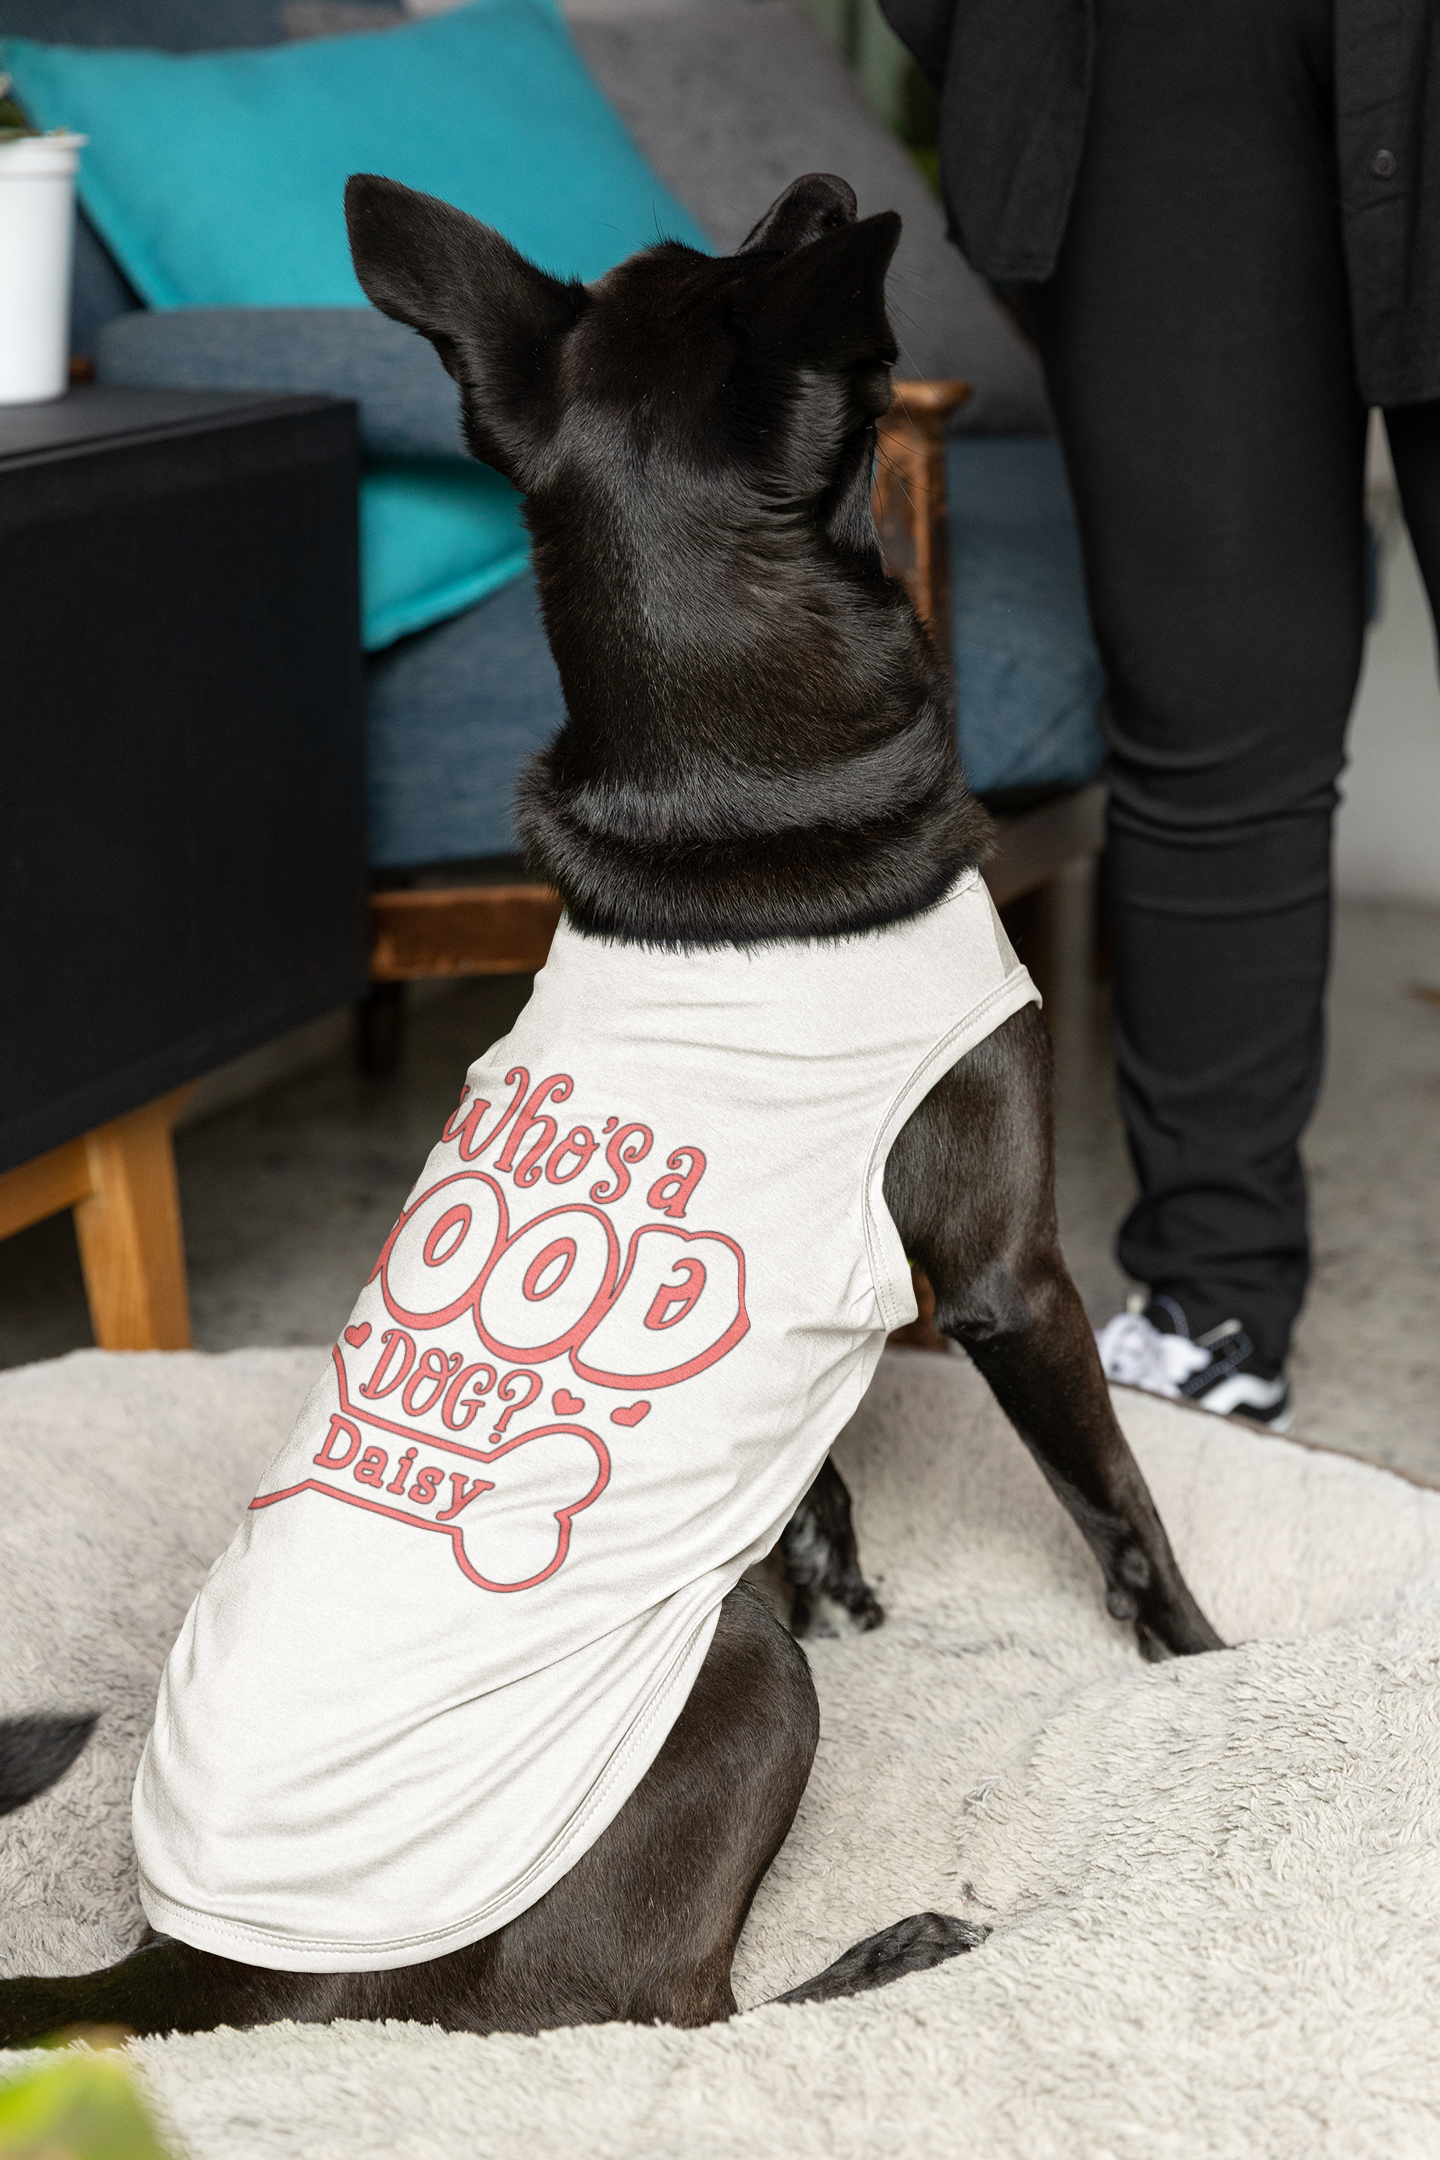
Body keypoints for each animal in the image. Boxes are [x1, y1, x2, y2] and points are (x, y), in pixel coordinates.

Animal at [0, 177, 1217, 2047]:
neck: (724, 801)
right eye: (757, 262)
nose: (814, 190)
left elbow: (813, 1470)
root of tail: (208, 1965)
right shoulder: (1014, 1280)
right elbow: (1120, 1499)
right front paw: (1215, 1668)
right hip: (734, 1690)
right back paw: (893, 1956)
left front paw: (836, 1561)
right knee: (663, 2017)